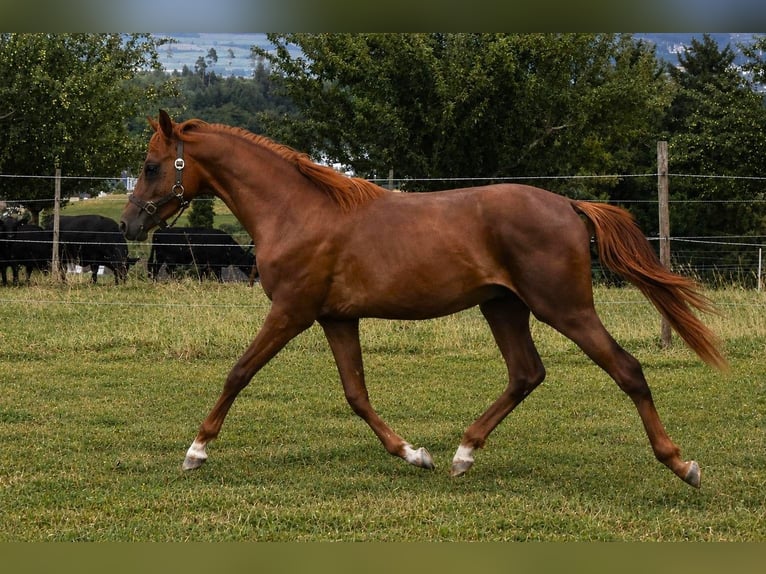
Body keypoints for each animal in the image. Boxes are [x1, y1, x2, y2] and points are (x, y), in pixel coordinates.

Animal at [120, 110, 727, 488]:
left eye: (151, 166)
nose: (128, 225)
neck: (297, 211)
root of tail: (571, 207)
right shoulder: (335, 318)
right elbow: (356, 395)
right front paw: (415, 454)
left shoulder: (291, 311)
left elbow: (239, 372)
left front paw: (195, 452)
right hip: (502, 306)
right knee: (526, 374)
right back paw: (462, 454)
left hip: (564, 308)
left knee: (627, 369)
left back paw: (683, 465)